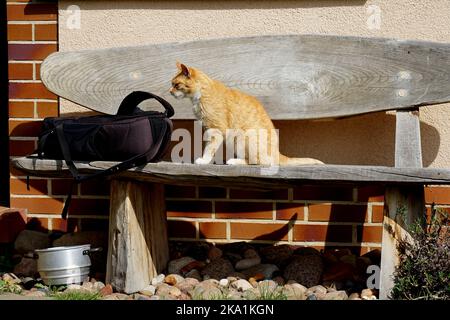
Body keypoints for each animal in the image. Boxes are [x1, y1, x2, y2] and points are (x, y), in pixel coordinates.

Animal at [170, 63, 324, 166]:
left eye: (176, 85)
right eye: (172, 84)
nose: (170, 92)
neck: (201, 93)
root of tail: (278, 153)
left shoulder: (216, 129)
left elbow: (209, 148)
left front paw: (203, 160)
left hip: (243, 138)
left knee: (258, 162)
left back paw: (234, 161)